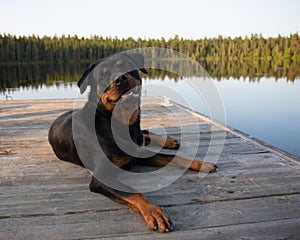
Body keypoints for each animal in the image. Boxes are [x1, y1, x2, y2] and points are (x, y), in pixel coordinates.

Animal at [48, 52, 217, 232]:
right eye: (102, 75)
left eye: (125, 65)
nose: (120, 79)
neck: (121, 124)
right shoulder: (101, 177)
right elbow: (135, 193)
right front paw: (154, 212)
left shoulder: (139, 154)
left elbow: (173, 157)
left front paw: (202, 163)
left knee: (145, 134)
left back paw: (169, 141)